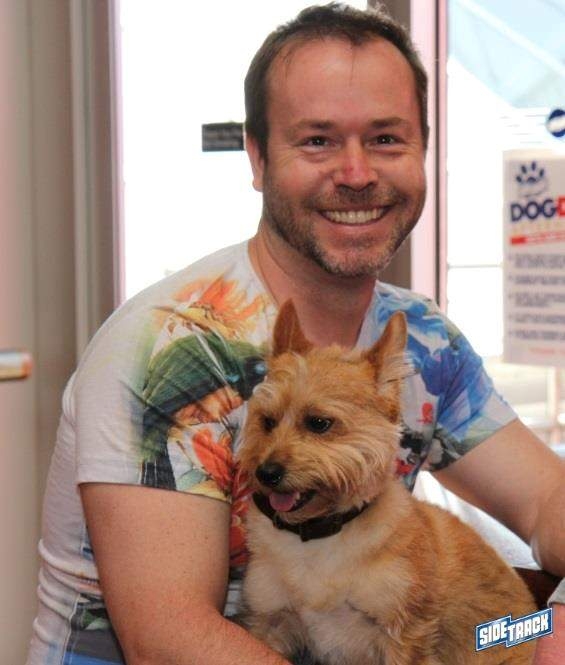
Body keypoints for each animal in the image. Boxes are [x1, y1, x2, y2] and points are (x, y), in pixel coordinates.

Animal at [236, 301, 536, 664]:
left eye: (319, 423)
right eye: (267, 422)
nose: (266, 473)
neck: (319, 536)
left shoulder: (405, 636)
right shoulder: (269, 622)